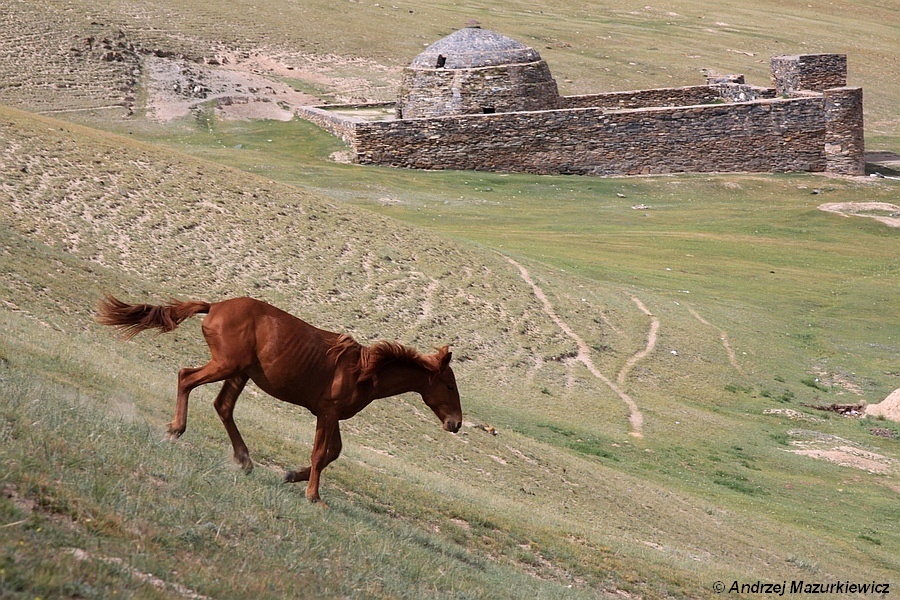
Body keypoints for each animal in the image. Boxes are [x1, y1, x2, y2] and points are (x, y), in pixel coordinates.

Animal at [96, 296, 464, 502]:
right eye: (449, 386)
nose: (456, 423)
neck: (364, 369)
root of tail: (215, 307)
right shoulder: (328, 414)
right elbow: (321, 454)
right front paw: (313, 495)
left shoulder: (329, 415)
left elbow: (332, 453)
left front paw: (290, 475)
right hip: (226, 366)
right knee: (186, 378)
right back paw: (176, 429)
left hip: (239, 373)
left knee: (223, 406)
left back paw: (244, 460)